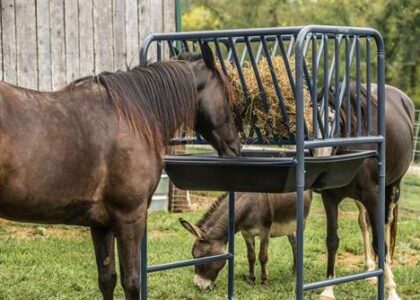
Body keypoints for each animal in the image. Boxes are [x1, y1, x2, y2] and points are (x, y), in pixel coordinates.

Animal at [0, 44, 240, 300]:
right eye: (227, 94)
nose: (236, 147)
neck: (131, 119)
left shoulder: (101, 224)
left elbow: (107, 279)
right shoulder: (130, 218)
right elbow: (132, 282)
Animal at [180, 191, 312, 290]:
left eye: (203, 258)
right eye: (193, 256)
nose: (198, 286)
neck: (249, 204)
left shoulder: (265, 232)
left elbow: (263, 257)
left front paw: (264, 281)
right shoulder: (246, 234)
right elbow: (251, 256)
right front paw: (251, 279)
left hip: (301, 222)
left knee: (298, 245)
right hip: (289, 227)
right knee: (294, 244)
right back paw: (294, 270)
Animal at [318, 83, 414, 300]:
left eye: (335, 124)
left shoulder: (373, 196)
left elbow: (380, 241)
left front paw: (391, 290)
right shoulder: (330, 198)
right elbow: (332, 241)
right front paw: (328, 289)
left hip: (392, 188)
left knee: (385, 224)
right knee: (364, 222)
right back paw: (371, 269)